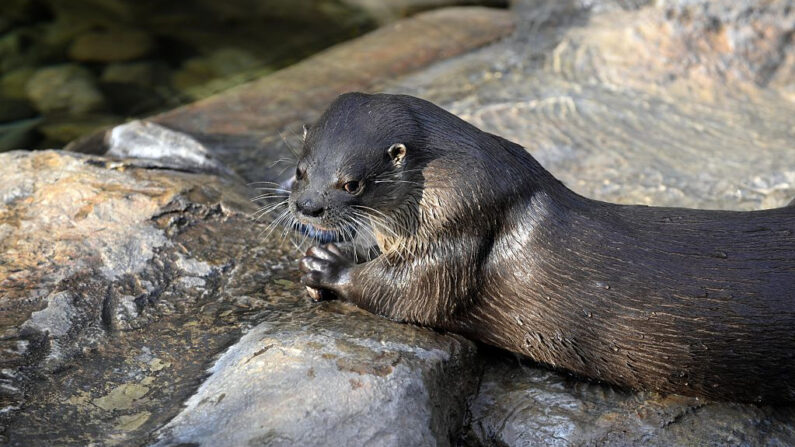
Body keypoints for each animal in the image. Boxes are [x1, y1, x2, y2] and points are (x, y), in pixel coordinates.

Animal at [290, 93, 795, 404]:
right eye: (300, 170)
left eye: (352, 183)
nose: (307, 206)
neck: (446, 185)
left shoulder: (460, 229)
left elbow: (409, 294)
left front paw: (328, 266)